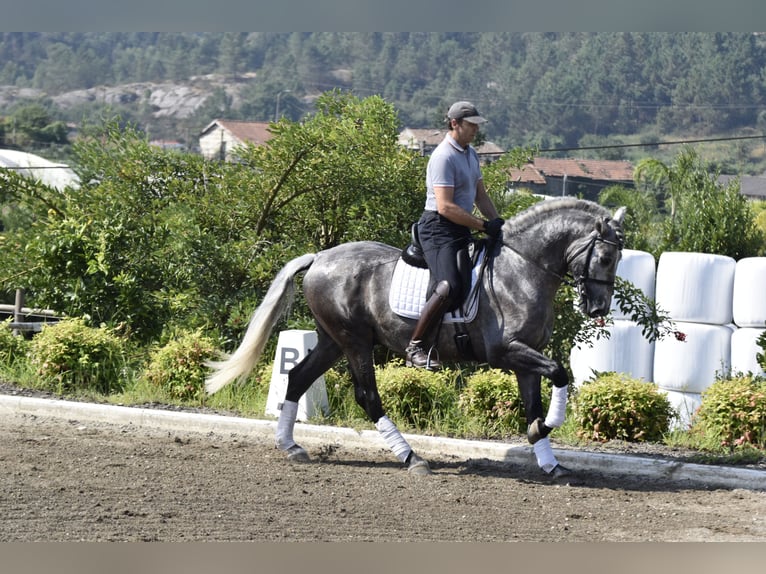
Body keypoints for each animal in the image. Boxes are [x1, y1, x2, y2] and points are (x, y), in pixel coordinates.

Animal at [205, 197, 625, 479]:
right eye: (606, 259)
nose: (597, 308)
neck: (521, 269)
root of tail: (320, 257)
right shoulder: (506, 351)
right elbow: (559, 373)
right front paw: (549, 428)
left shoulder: (527, 355)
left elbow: (536, 400)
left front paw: (549, 459)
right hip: (355, 341)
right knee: (367, 396)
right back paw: (411, 458)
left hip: (332, 341)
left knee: (297, 377)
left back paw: (291, 445)